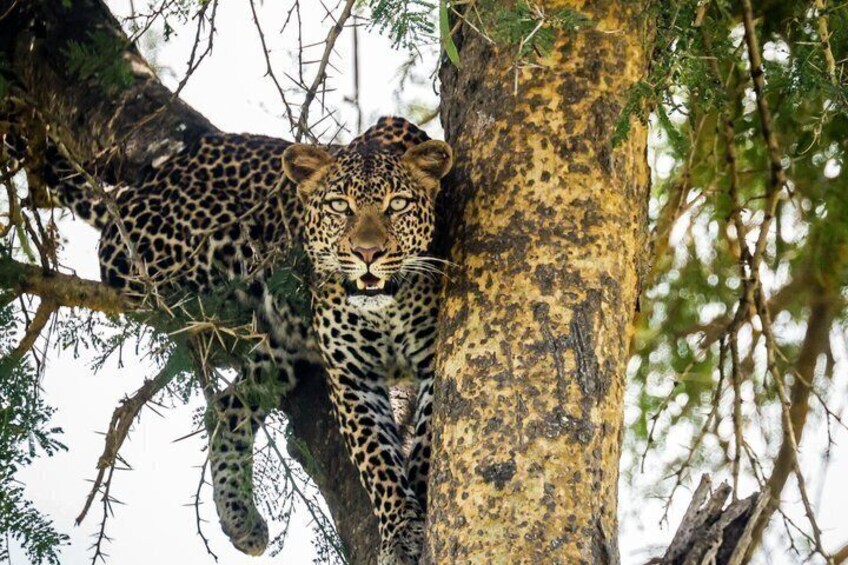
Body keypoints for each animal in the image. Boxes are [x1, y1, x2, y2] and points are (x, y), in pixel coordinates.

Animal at [4, 116, 452, 564]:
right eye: (340, 207)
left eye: (398, 205)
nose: (367, 253)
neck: (385, 307)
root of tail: (134, 195)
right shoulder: (351, 376)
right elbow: (378, 463)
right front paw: (400, 534)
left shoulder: (433, 364)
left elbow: (430, 441)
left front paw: (420, 499)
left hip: (276, 353)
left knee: (228, 406)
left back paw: (240, 517)